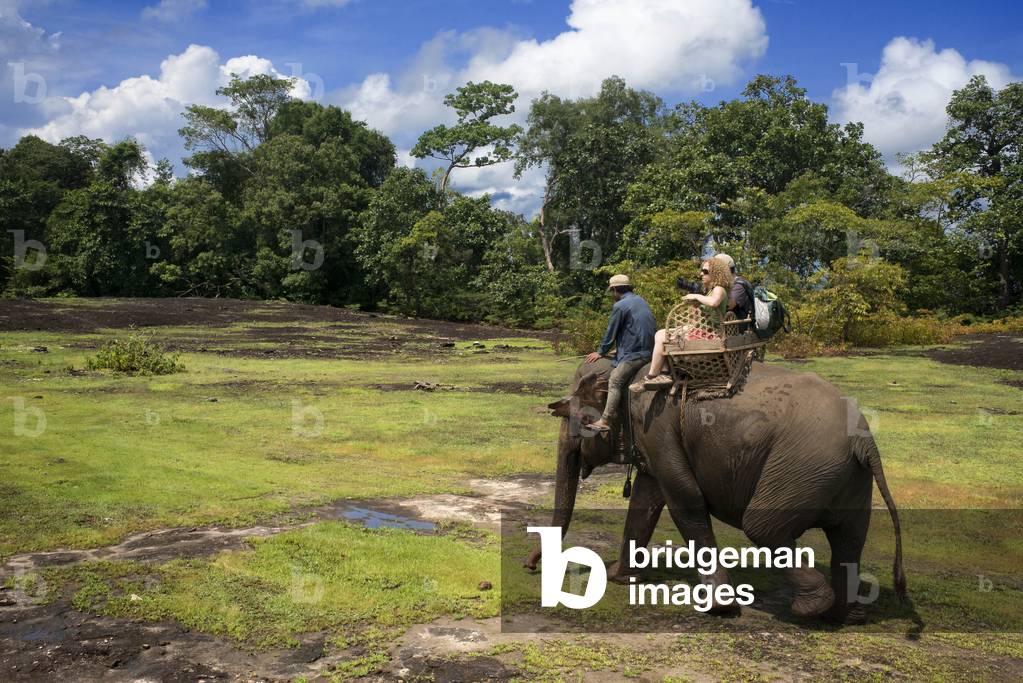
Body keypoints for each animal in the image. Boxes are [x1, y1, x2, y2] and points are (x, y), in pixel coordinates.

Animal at [524, 358, 906, 623]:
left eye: (573, 420)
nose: (529, 566)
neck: (626, 368)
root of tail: (864, 441)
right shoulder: (655, 438)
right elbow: (647, 499)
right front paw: (623, 579)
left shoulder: (657, 425)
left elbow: (684, 499)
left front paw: (718, 608)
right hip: (849, 480)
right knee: (849, 540)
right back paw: (847, 617)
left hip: (803, 468)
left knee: (763, 527)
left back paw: (808, 609)